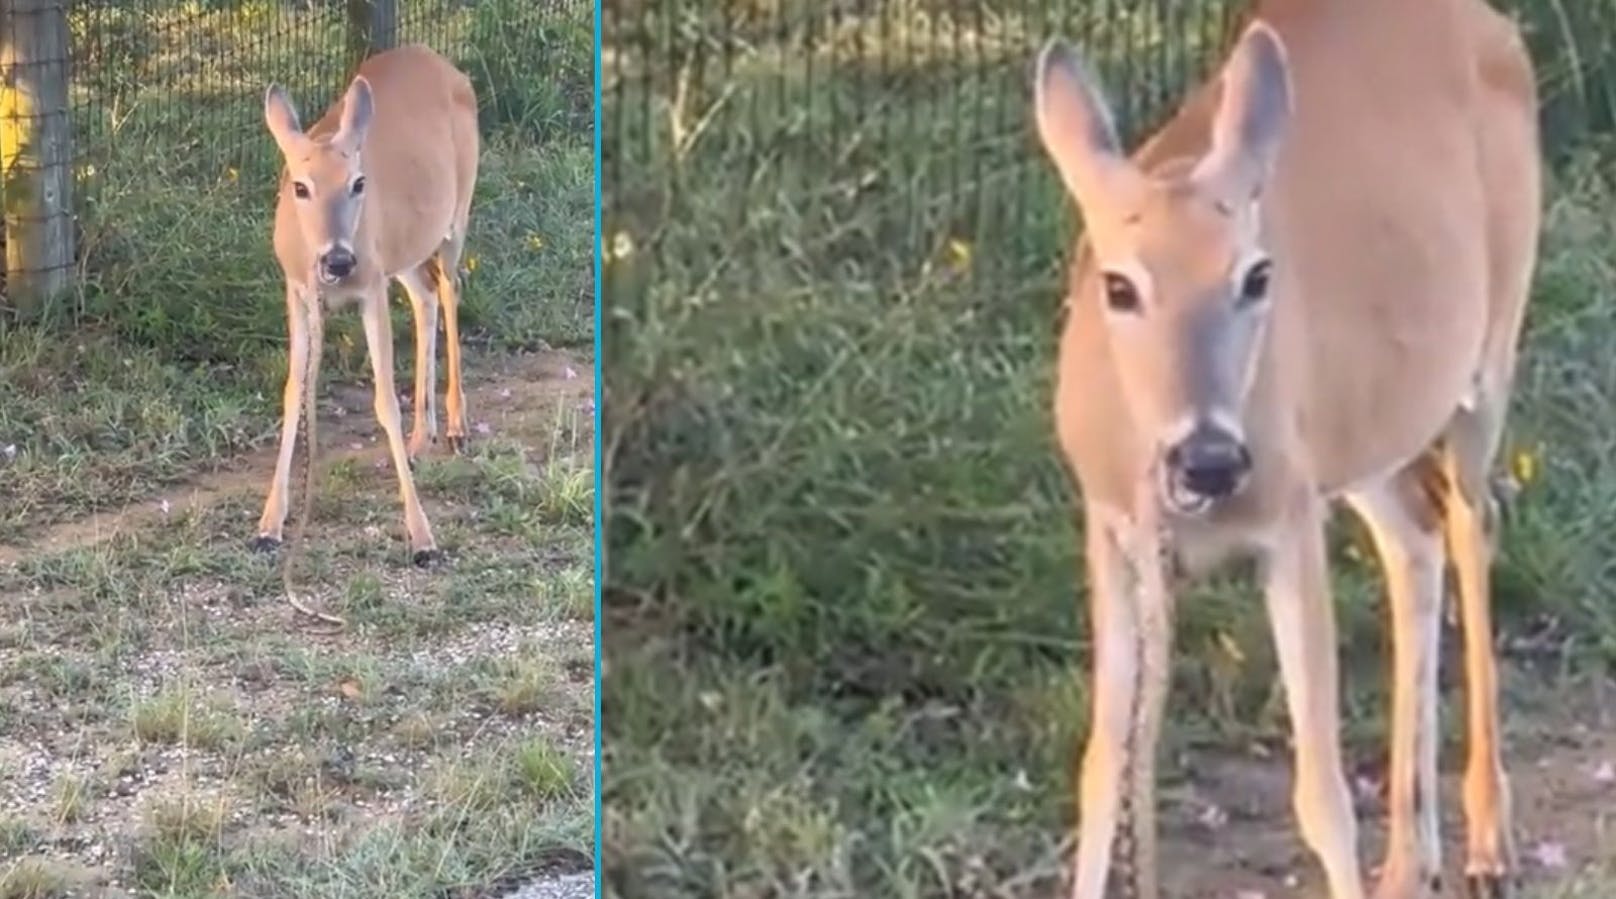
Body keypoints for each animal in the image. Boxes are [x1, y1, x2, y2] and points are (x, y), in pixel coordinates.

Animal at [247, 40, 478, 611]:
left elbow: (383, 401)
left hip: (455, 213)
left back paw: (456, 426)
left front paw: (423, 540)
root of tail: (439, 60)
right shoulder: (297, 290)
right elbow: (293, 392)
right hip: (405, 250)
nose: (338, 260)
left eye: (358, 183)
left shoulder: (370, 287)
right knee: (425, 295)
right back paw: (421, 440)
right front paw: (268, 526)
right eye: (300, 186)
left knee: (450, 288)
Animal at [1034, 1, 1538, 899]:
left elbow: (1321, 793)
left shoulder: (1288, 516)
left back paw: (1486, 838)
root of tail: (1491, 24)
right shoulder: (1111, 524)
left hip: (1488, 352)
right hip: (1366, 427)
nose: (1209, 457)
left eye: (1256, 276)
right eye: (1119, 285)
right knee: (1415, 538)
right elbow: (1101, 768)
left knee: (1473, 525)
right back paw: (1409, 857)